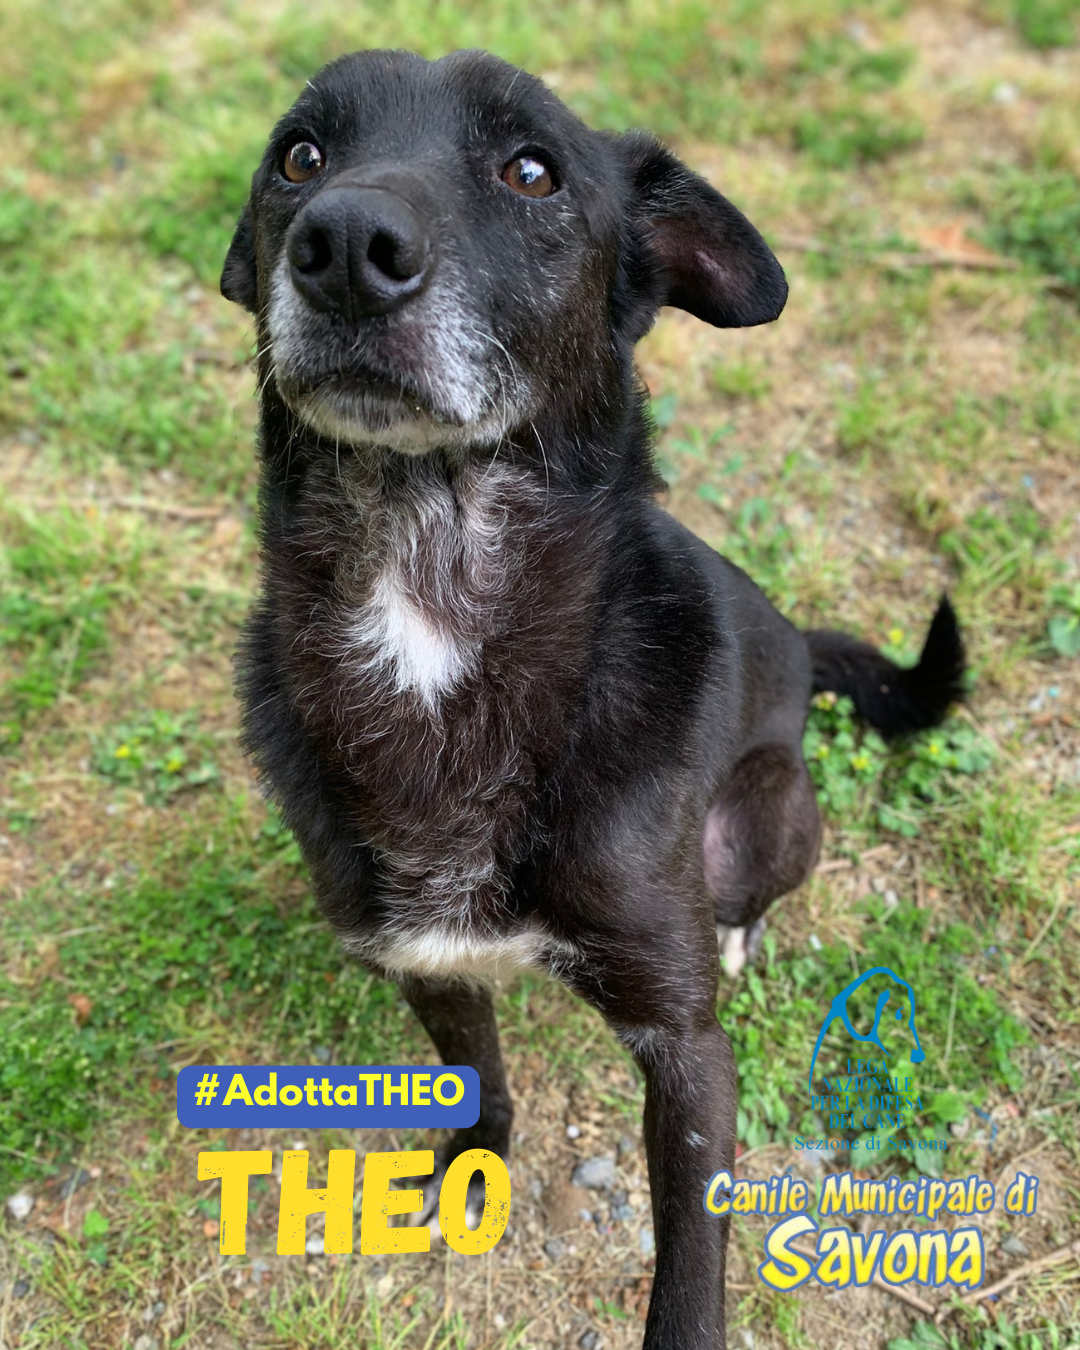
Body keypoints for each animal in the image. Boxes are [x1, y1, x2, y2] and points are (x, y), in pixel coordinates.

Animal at [219, 48, 964, 1349]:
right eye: (299, 156)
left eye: (533, 172)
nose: (346, 243)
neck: (435, 587)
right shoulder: (424, 964)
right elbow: (482, 1078)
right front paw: (478, 1165)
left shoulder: (685, 1047)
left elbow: (691, 1265)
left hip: (770, 810)